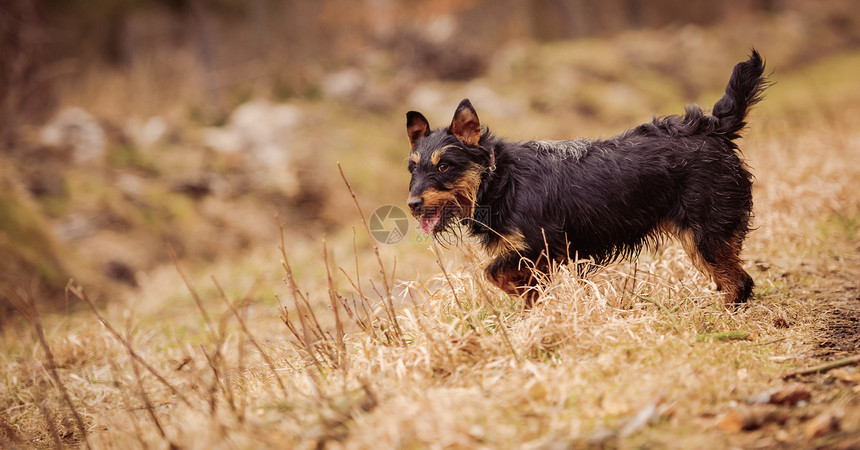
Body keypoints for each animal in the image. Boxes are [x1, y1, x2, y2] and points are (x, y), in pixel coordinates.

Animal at [406, 51, 768, 308]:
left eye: (444, 166)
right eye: (413, 169)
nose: (412, 204)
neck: (498, 180)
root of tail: (712, 128)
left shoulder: (543, 245)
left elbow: (494, 273)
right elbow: (516, 283)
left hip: (706, 234)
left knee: (740, 282)